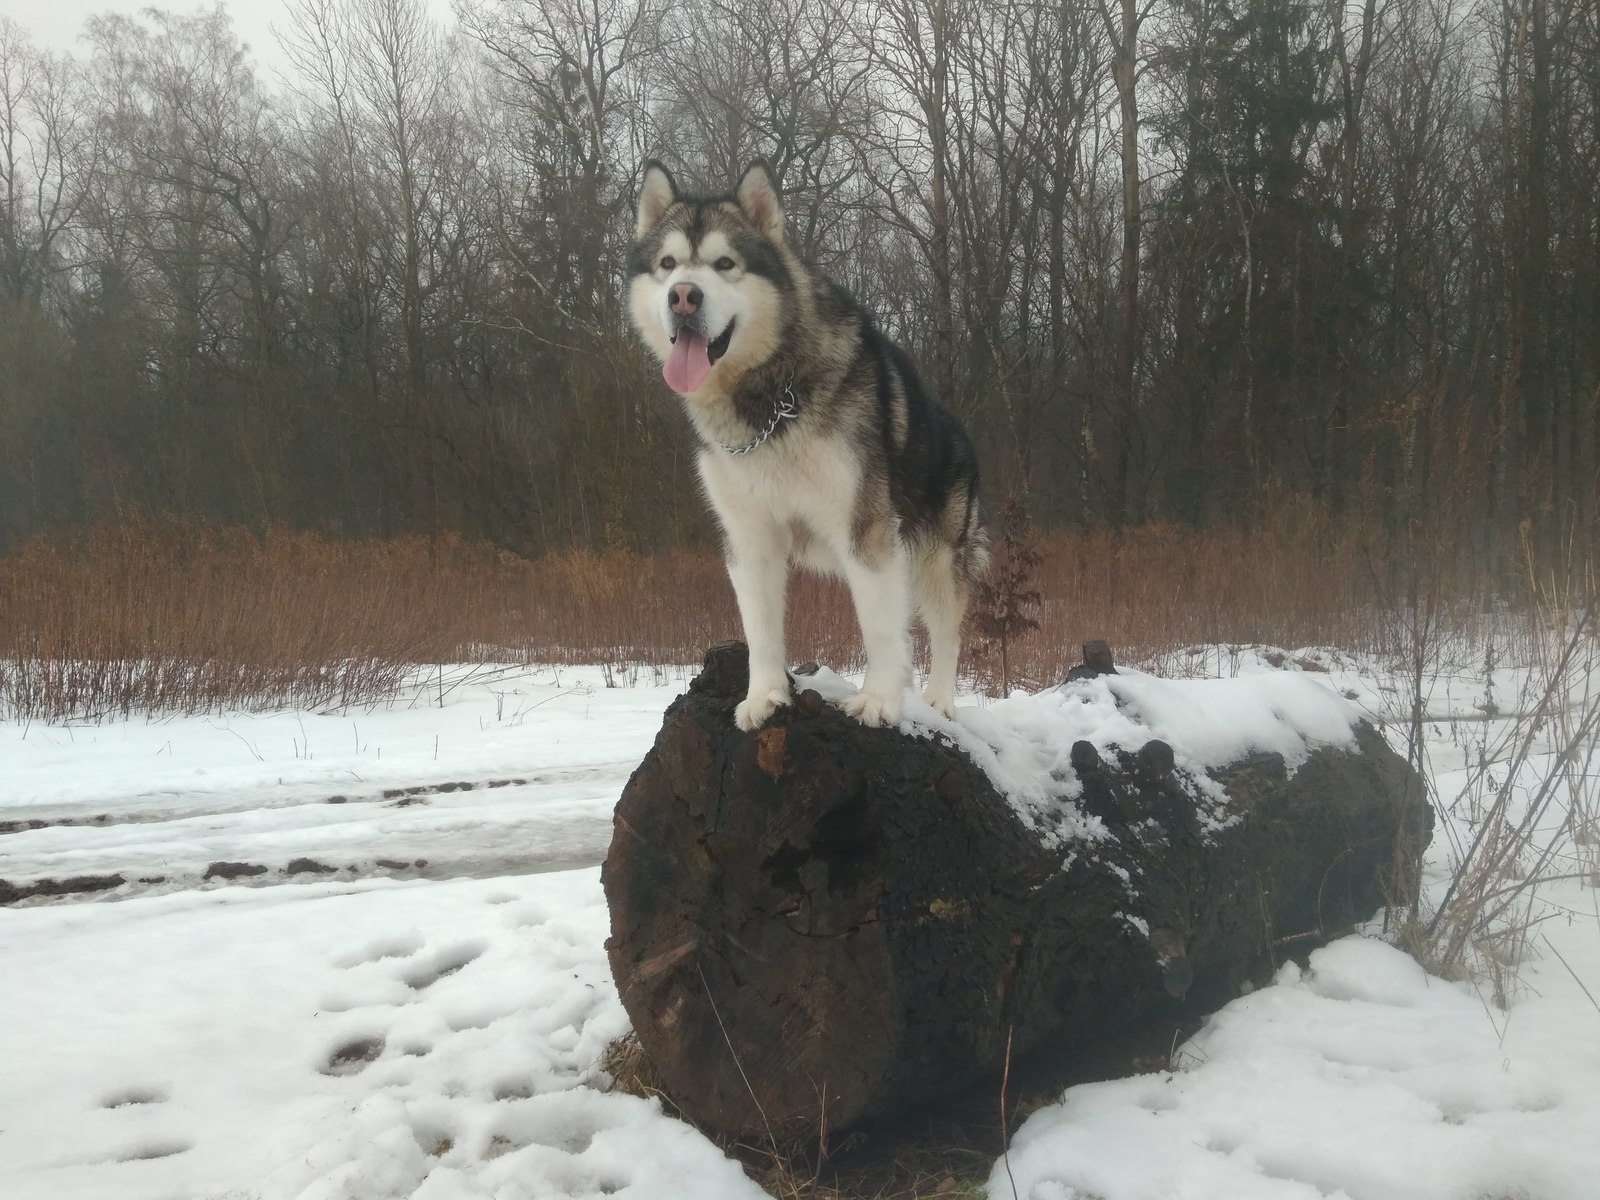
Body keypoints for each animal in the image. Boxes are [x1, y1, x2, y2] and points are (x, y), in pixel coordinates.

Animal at [627, 162, 985, 732]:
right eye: (667, 264)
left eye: (725, 264)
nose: (683, 295)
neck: (772, 401)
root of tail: (959, 428)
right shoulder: (750, 537)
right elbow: (760, 629)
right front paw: (765, 696)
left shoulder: (866, 529)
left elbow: (880, 627)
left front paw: (879, 700)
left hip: (936, 556)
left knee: (946, 630)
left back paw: (939, 702)